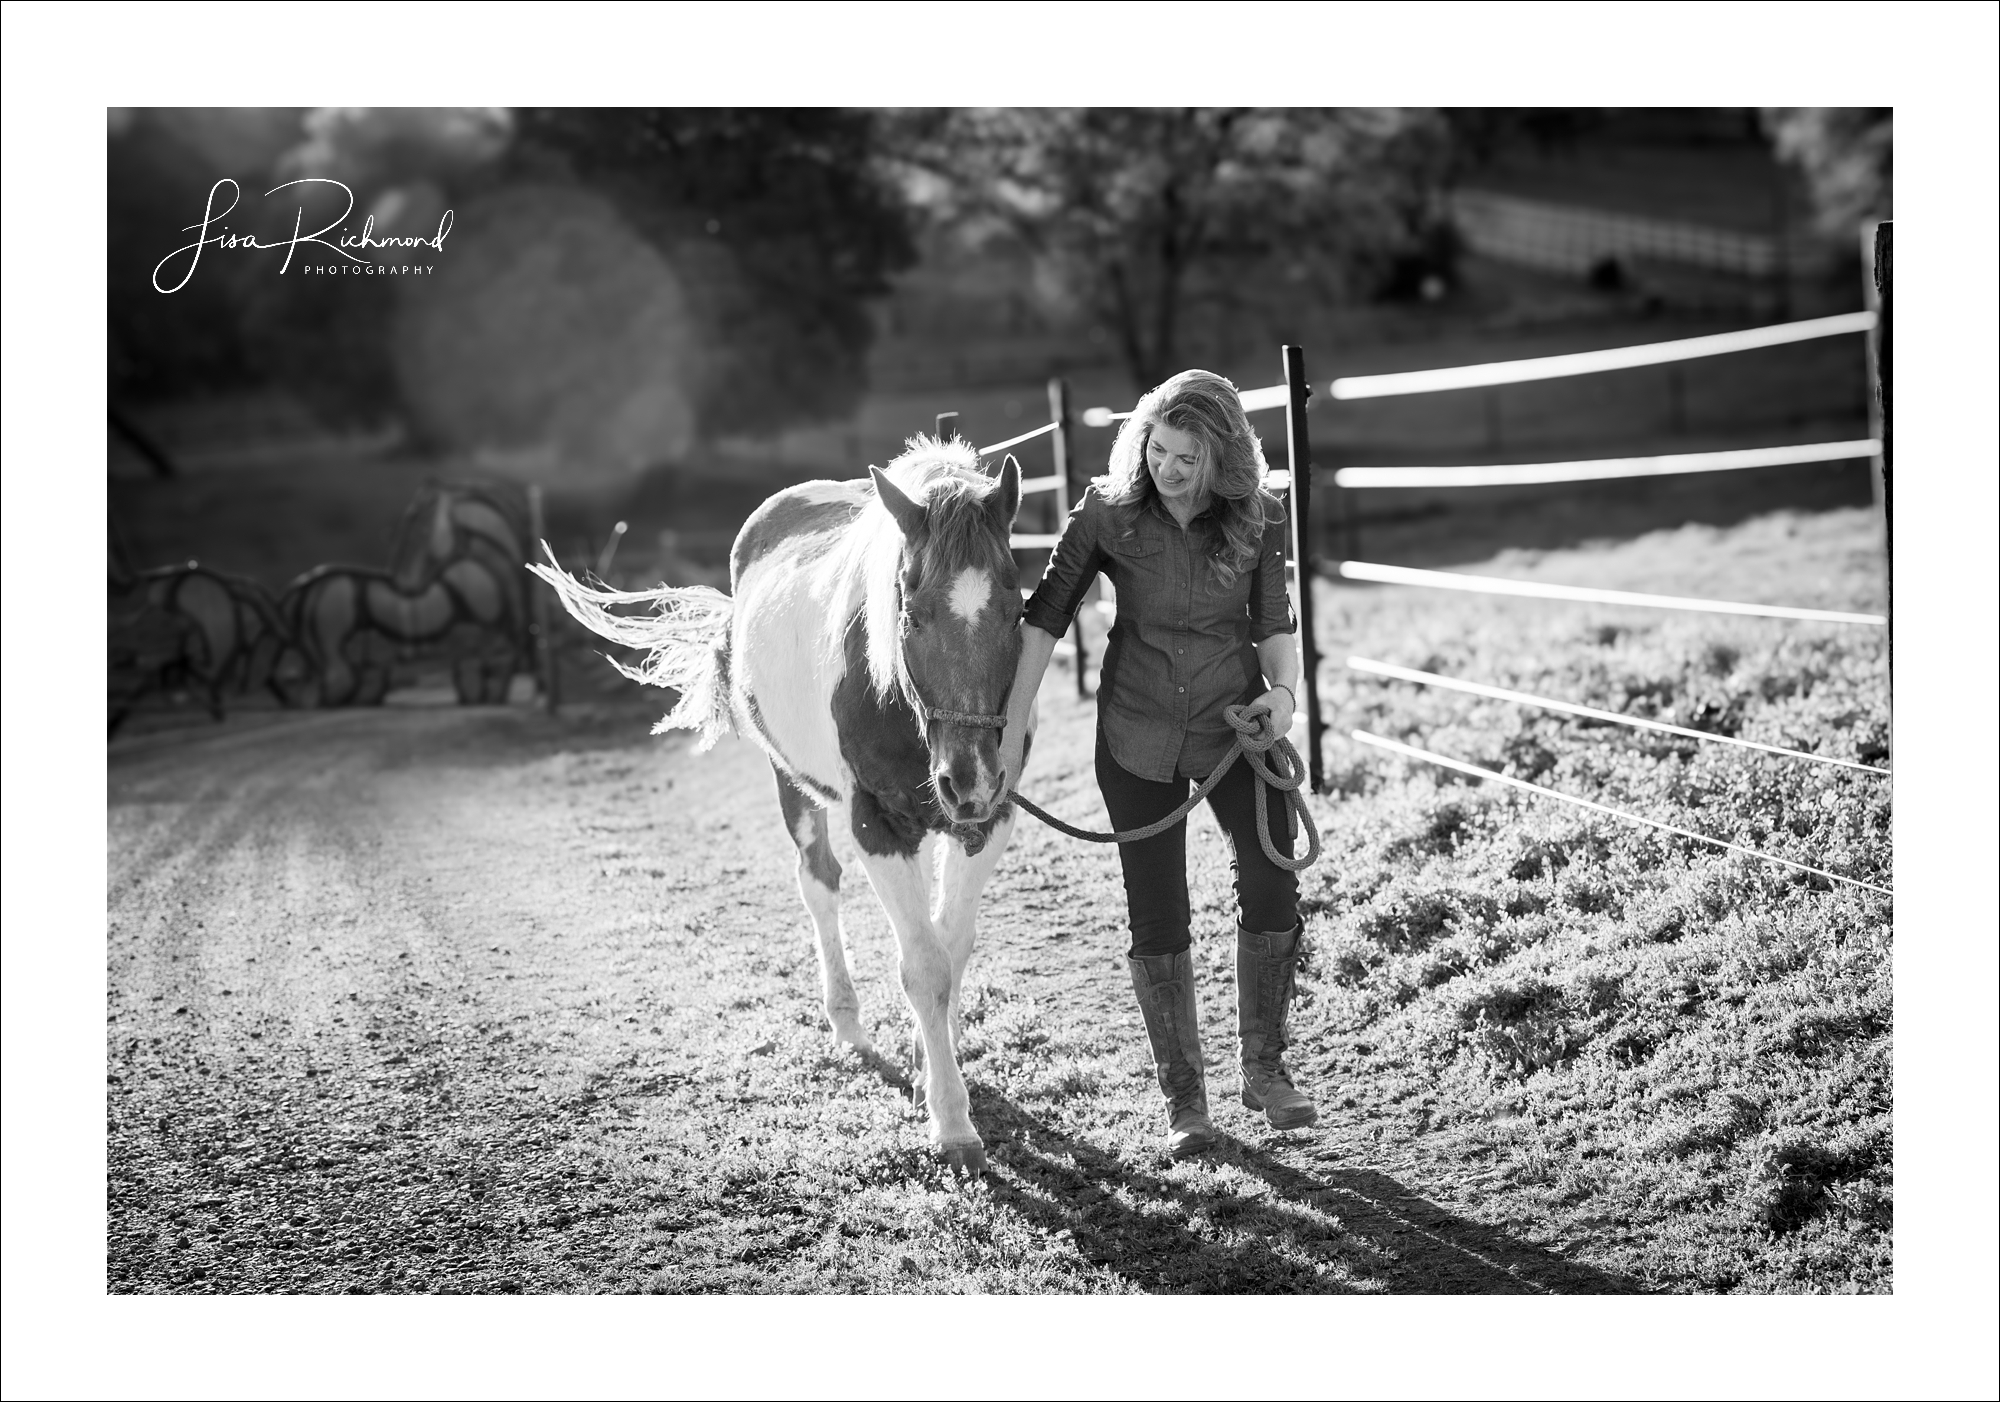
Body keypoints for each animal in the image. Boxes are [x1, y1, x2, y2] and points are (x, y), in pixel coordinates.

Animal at [533, 437, 1027, 1177]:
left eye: (1015, 608)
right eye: (911, 612)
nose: (967, 778)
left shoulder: (989, 822)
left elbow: (950, 946)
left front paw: (929, 1064)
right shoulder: (877, 826)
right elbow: (924, 967)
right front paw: (952, 1123)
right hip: (790, 780)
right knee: (818, 882)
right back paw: (846, 1020)